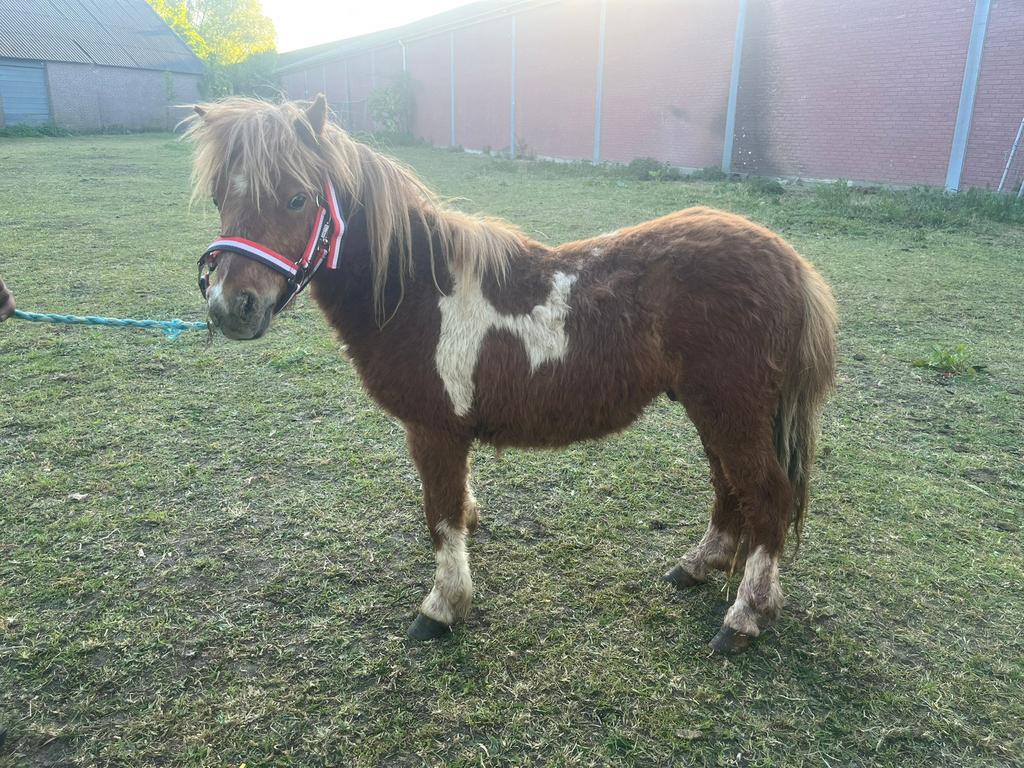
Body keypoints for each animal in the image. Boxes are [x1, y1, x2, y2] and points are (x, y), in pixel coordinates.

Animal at [185, 95, 837, 653]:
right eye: (219, 196)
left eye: (297, 199)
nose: (231, 307)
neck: (417, 292)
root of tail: (788, 260)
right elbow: (455, 508)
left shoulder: (433, 430)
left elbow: (440, 516)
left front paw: (442, 608)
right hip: (711, 409)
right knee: (730, 488)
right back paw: (698, 567)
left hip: (731, 410)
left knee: (767, 496)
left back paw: (745, 616)